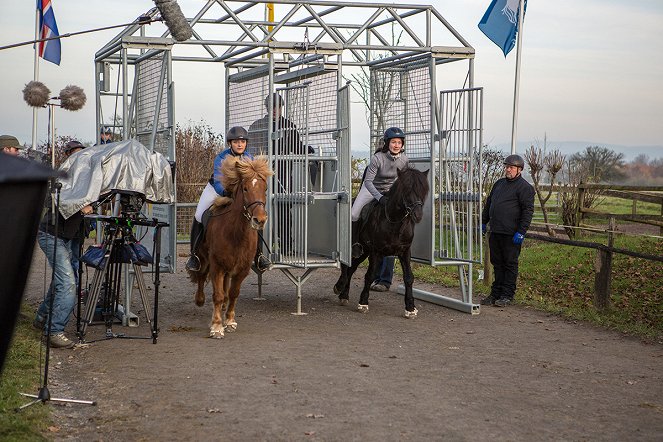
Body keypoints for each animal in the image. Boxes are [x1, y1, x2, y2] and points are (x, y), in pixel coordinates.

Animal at [189, 156, 274, 338]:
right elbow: (218, 295)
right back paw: (200, 299)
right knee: (201, 275)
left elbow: (233, 293)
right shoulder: (216, 266)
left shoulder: (242, 268)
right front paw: (216, 326)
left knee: (226, 287)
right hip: (204, 258)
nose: (260, 220)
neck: (236, 233)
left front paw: (229, 321)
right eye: (245, 188)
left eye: (265, 188)